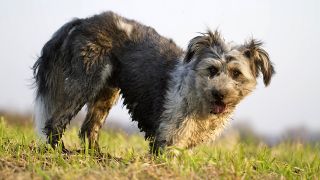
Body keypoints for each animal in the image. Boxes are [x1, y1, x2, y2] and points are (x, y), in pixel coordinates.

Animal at [33, 11, 276, 153]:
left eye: (236, 73)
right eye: (212, 69)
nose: (219, 94)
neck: (197, 96)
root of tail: (83, 21)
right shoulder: (167, 139)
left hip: (106, 91)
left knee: (89, 128)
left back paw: (98, 156)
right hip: (85, 80)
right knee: (55, 122)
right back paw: (60, 153)